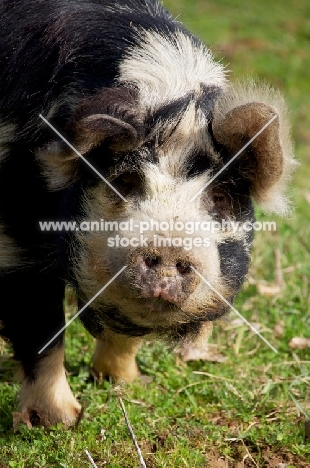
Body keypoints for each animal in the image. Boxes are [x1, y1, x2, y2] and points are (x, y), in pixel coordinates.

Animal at [0, 0, 296, 426]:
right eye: (124, 181)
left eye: (221, 196)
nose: (170, 249)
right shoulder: (17, 234)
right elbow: (40, 326)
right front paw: (61, 421)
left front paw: (127, 383)